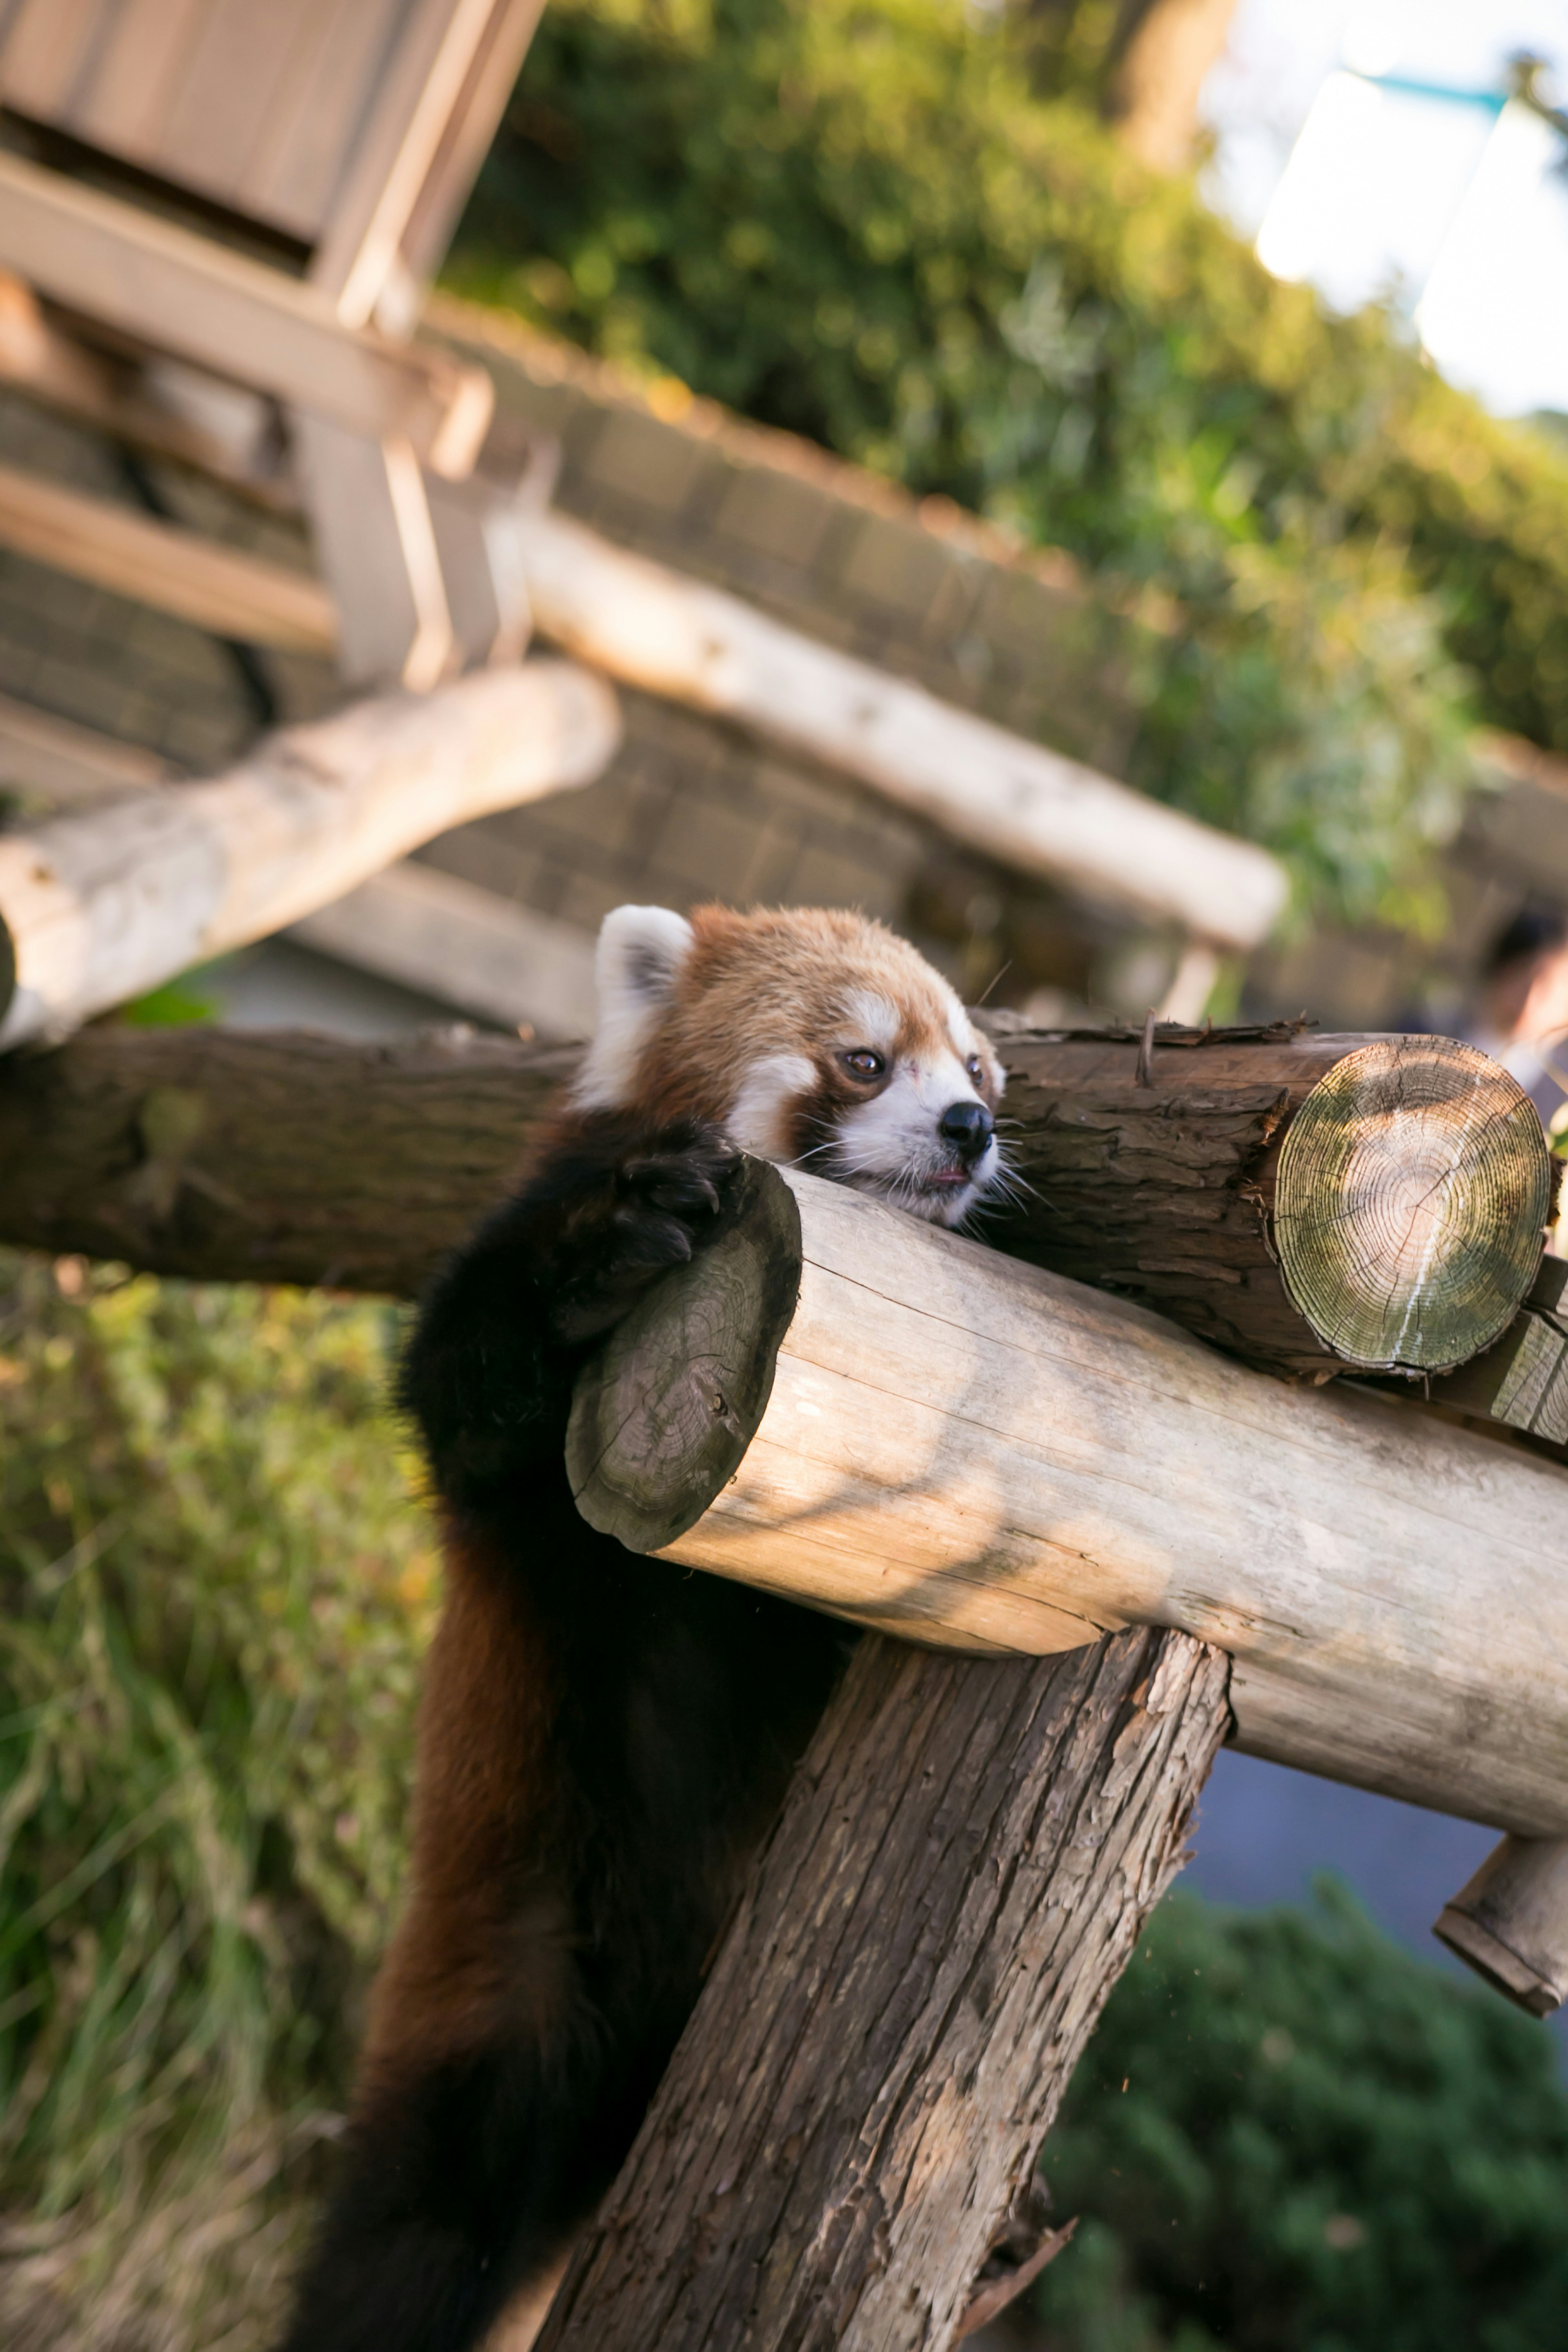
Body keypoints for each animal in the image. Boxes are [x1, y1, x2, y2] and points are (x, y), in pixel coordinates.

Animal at [278, 898, 1006, 2352]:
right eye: (862, 1059)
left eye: (976, 1064)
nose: (970, 1127)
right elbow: (469, 1388)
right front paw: (608, 1249)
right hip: (514, 1967)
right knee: (414, 2233)